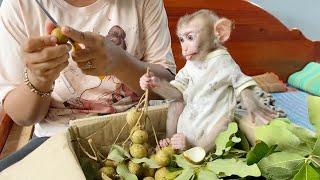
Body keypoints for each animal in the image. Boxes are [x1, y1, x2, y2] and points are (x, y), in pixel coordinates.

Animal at [139, 9, 278, 151]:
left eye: (190, 37)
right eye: (182, 39)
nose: (185, 49)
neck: (205, 57)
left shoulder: (228, 63)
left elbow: (240, 84)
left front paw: (254, 107)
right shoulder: (187, 67)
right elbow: (178, 91)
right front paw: (150, 80)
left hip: (218, 131)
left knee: (217, 131)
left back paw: (186, 144)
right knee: (177, 103)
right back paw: (166, 141)